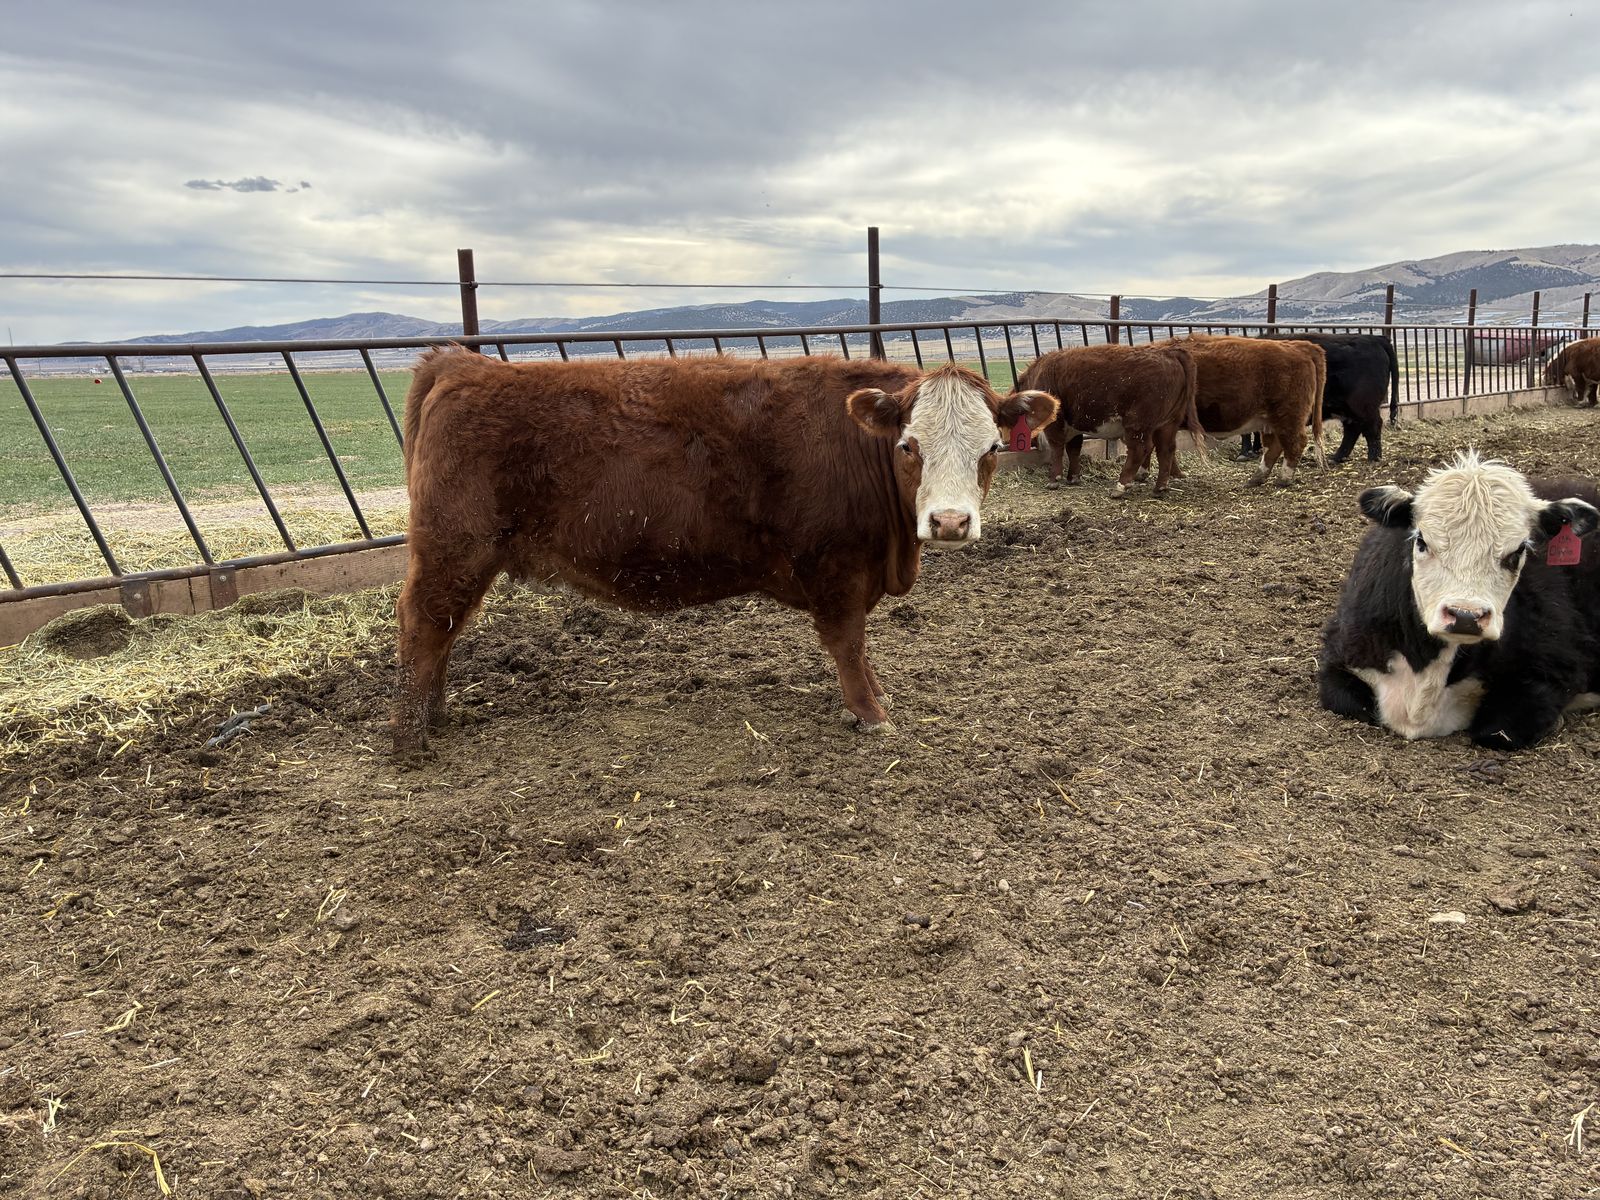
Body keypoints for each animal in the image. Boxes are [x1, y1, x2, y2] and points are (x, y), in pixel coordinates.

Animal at [392, 348, 1058, 755]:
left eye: (992, 447)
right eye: (909, 446)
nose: (949, 521)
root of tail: (461, 362)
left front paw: (875, 697)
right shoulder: (836, 568)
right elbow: (848, 643)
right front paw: (870, 713)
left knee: (443, 631)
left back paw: (436, 714)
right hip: (454, 547)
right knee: (423, 623)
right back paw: (411, 734)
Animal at [1011, 343, 1203, 497]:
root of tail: (1169, 352)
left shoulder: (1056, 423)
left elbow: (1057, 448)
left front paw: (1054, 479)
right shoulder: (1075, 424)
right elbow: (1074, 449)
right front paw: (1073, 477)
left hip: (1138, 424)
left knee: (1140, 449)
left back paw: (1120, 487)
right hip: (1168, 423)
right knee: (1166, 449)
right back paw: (1159, 488)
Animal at [1174, 336, 1327, 485]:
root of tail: (1299, 345)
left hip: (1287, 415)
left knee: (1294, 443)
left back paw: (1283, 479)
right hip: (1270, 419)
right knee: (1273, 446)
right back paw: (1257, 478)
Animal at [1239, 332, 1400, 463]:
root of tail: (1375, 339)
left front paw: (1246, 453)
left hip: (1362, 404)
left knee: (1372, 425)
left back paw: (1374, 457)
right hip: (1347, 407)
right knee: (1353, 429)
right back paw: (1336, 457)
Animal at [1318, 451, 1600, 749]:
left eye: (1518, 551)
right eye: (1421, 541)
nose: (1466, 616)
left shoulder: (1554, 668)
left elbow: (1498, 729)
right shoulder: (1342, 655)